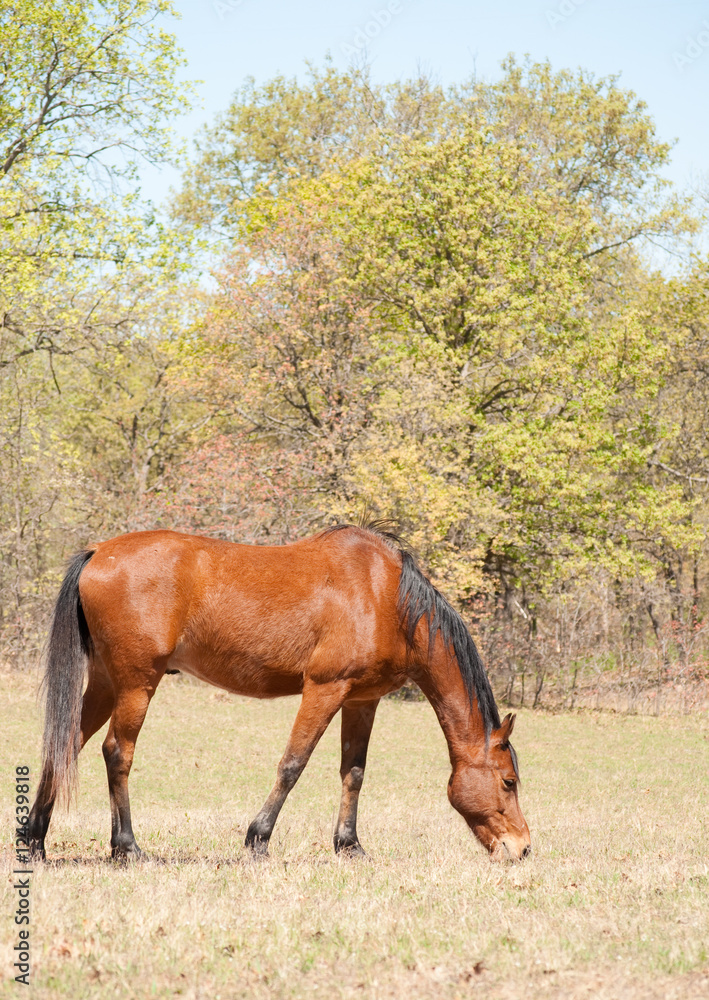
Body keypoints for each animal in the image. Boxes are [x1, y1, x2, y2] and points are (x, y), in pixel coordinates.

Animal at [27, 522, 530, 863]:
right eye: (509, 781)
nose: (522, 848)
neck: (385, 596)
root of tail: (98, 553)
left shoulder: (362, 700)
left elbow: (353, 772)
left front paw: (349, 845)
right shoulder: (325, 689)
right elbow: (293, 763)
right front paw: (258, 839)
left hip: (106, 683)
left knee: (64, 746)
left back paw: (34, 840)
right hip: (136, 683)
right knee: (117, 752)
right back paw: (127, 847)